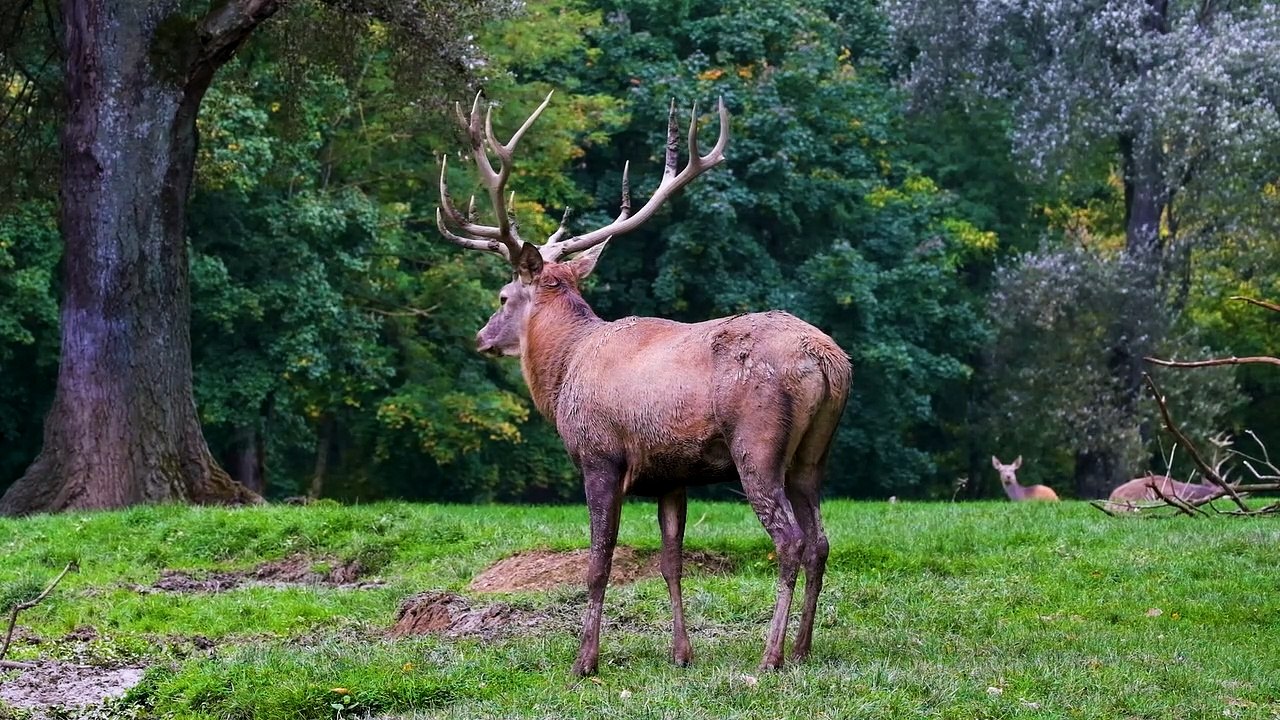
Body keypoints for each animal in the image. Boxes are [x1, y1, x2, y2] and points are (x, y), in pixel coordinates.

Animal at [435, 91, 851, 676]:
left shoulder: (599, 455)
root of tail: (828, 361)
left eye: (502, 296)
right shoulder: (671, 474)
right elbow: (670, 562)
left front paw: (584, 660)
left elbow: (598, 562)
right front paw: (681, 654)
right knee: (820, 541)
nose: (482, 337)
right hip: (813, 456)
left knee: (789, 541)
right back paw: (802, 648)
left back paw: (770, 657)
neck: (565, 371)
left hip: (758, 444)